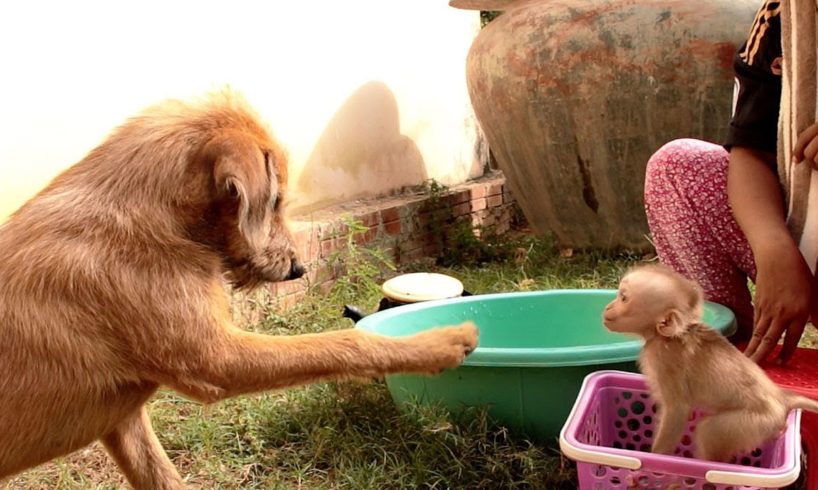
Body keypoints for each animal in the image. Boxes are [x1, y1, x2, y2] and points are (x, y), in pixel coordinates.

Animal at [0, 94, 478, 488]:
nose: (299, 268)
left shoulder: (125, 422)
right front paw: (440, 342)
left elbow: (160, 473)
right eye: (276, 201)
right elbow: (342, 343)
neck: (150, 215)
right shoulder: (216, 360)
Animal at [600, 264, 816, 460]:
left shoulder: (664, 358)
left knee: (710, 430)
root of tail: (781, 398)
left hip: (754, 421)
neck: (667, 336)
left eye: (624, 298)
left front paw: (655, 459)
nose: (608, 307)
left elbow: (677, 410)